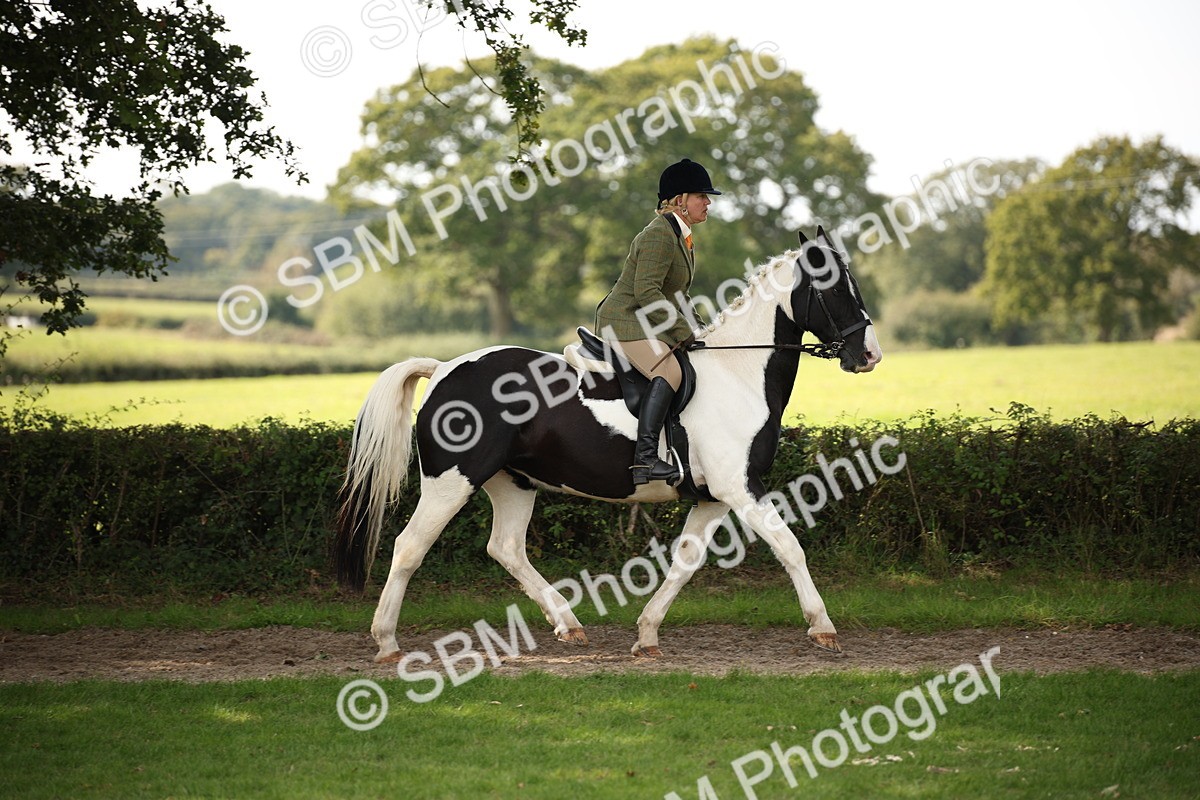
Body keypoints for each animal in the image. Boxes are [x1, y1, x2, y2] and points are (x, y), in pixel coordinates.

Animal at [334, 227, 882, 662]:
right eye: (834, 286)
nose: (869, 355)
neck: (738, 372)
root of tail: (445, 368)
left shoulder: (713, 497)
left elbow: (685, 561)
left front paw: (647, 633)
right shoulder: (741, 487)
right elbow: (790, 547)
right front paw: (823, 628)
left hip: (512, 483)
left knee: (506, 547)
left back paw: (568, 624)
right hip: (451, 481)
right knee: (410, 547)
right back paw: (386, 643)